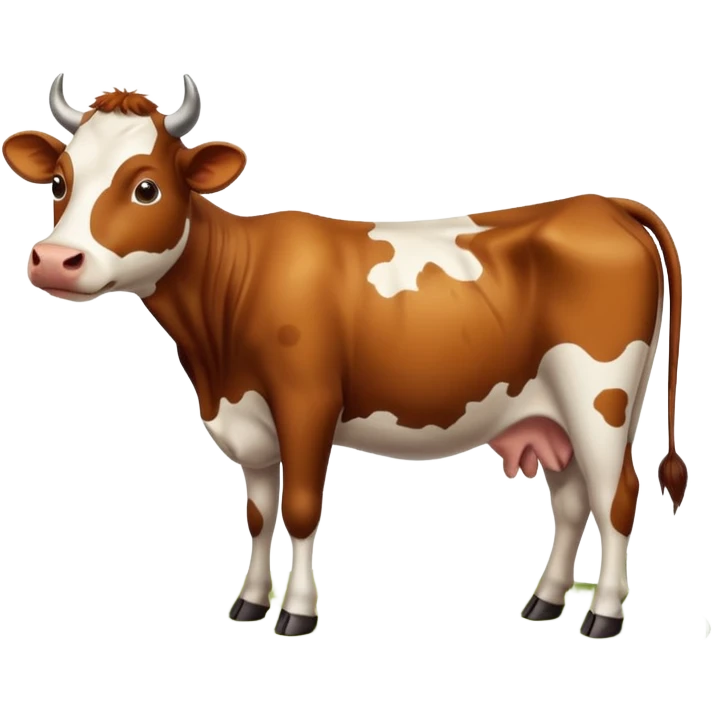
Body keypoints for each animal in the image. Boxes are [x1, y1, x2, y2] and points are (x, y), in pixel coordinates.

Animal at [3, 73, 687, 640]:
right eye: (60, 182)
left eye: (146, 187)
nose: (54, 261)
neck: (216, 354)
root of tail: (599, 204)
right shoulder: (249, 420)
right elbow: (259, 513)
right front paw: (249, 603)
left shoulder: (306, 404)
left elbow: (302, 510)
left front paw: (298, 613)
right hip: (551, 416)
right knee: (572, 501)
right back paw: (543, 601)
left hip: (600, 398)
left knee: (617, 496)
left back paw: (604, 615)